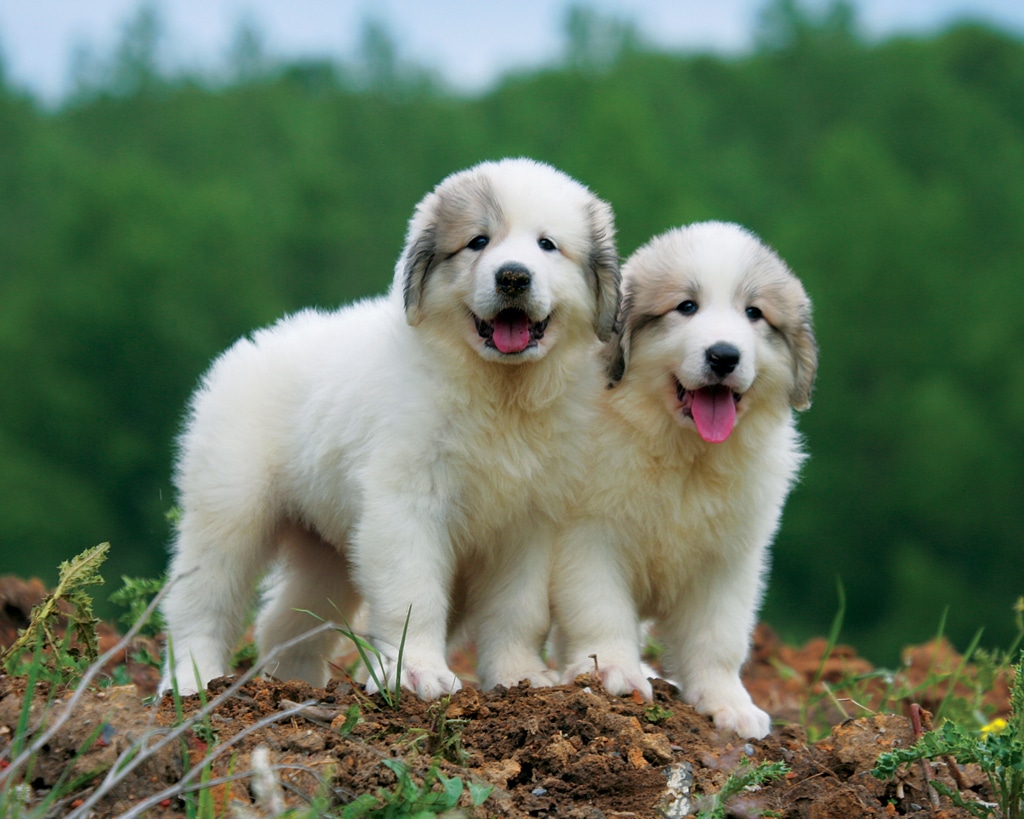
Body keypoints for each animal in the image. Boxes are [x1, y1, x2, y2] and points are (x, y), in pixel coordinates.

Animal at [158, 158, 614, 696]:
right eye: (478, 241)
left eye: (547, 245)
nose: (513, 277)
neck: (499, 390)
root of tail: (250, 345)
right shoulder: (405, 501)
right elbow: (414, 594)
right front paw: (417, 674)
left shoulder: (528, 522)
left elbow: (518, 608)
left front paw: (518, 675)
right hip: (229, 507)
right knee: (201, 601)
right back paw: (192, 681)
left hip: (328, 550)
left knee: (286, 621)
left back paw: (295, 684)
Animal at [552, 221, 815, 737]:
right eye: (687, 307)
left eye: (754, 313)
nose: (724, 355)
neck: (684, 455)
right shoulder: (588, 537)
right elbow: (600, 608)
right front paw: (614, 672)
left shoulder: (729, 560)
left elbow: (719, 637)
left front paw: (729, 704)